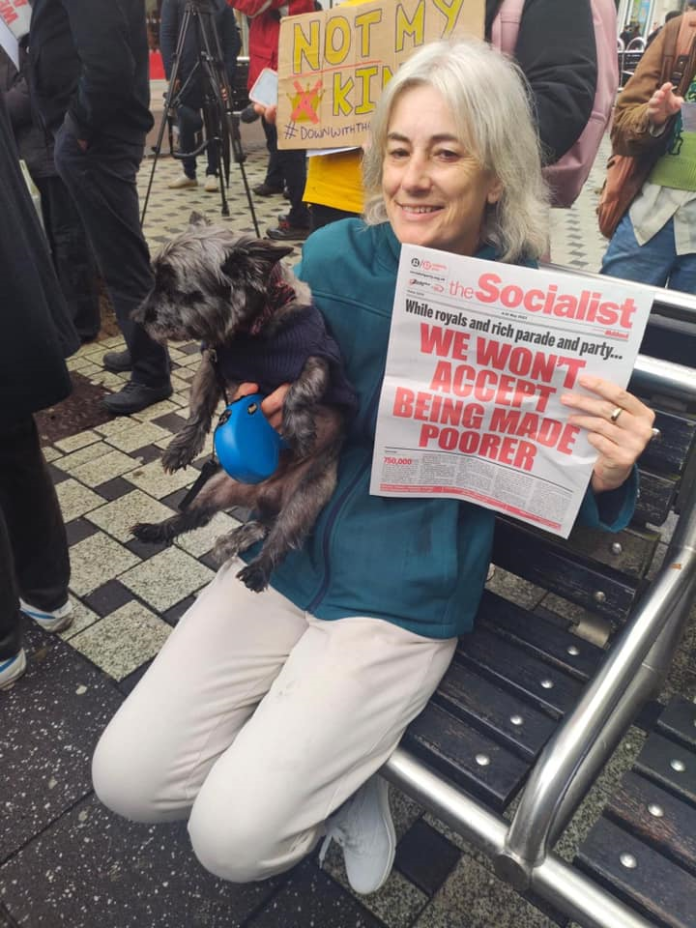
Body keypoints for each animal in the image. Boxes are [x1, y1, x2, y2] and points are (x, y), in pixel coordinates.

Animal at [130, 221, 356, 592]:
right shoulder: (212, 362)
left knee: (280, 540)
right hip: (216, 485)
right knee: (194, 515)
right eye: (154, 284)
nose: (138, 318)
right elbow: (198, 409)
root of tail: (267, 498)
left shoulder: (319, 358)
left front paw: (299, 431)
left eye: (174, 289)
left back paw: (258, 570)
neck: (253, 330)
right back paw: (156, 529)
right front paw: (181, 449)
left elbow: (299, 391)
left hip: (303, 502)